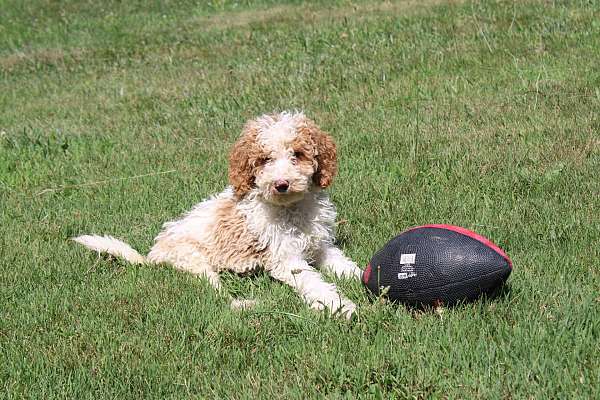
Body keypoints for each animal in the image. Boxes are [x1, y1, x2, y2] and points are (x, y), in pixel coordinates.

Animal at [77, 111, 364, 318]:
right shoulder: (285, 257)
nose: (281, 184)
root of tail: (152, 256)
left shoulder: (321, 245)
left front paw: (362, 279)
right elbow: (312, 281)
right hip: (194, 261)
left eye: (298, 154)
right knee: (218, 294)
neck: (290, 208)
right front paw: (338, 306)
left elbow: (347, 267)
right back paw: (245, 304)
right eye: (264, 160)